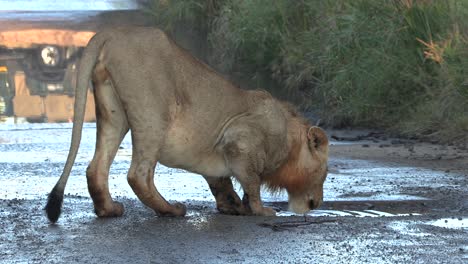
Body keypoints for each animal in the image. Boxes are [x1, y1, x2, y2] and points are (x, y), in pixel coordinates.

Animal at [44, 26, 330, 222]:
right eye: (324, 173)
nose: (317, 203)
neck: (290, 139)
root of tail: (111, 33)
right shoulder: (239, 139)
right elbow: (251, 181)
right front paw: (261, 210)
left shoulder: (221, 148)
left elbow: (223, 182)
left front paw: (234, 206)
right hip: (152, 113)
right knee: (138, 174)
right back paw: (171, 210)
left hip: (114, 113)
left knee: (96, 168)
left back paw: (109, 210)